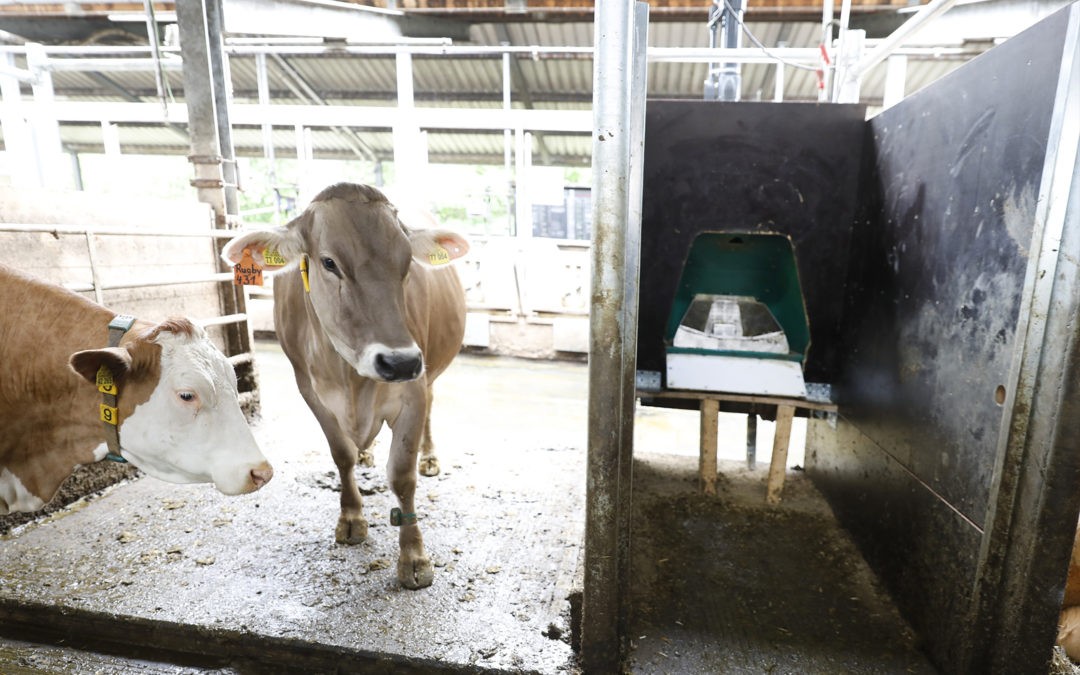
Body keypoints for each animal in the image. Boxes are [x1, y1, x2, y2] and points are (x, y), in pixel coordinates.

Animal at [221, 181, 466, 587]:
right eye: (329, 262)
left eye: (406, 264)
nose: (399, 361)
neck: (349, 376)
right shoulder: (311, 392)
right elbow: (342, 455)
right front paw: (351, 518)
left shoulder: (412, 390)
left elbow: (402, 475)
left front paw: (414, 557)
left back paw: (429, 456)